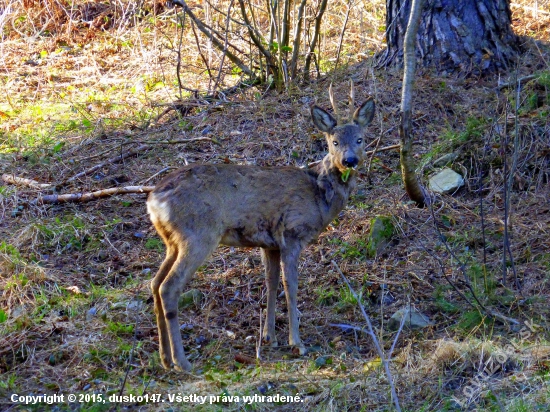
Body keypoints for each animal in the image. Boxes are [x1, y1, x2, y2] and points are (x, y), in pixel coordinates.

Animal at [149, 85, 378, 372]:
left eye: (360, 139)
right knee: (169, 287)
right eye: (334, 142)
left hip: (172, 241)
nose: (349, 161)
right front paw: (296, 342)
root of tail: (153, 200)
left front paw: (269, 337)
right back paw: (182, 362)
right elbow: (291, 285)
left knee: (155, 283)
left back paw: (165, 358)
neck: (318, 197)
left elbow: (271, 283)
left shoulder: (270, 244)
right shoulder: (292, 234)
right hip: (198, 235)